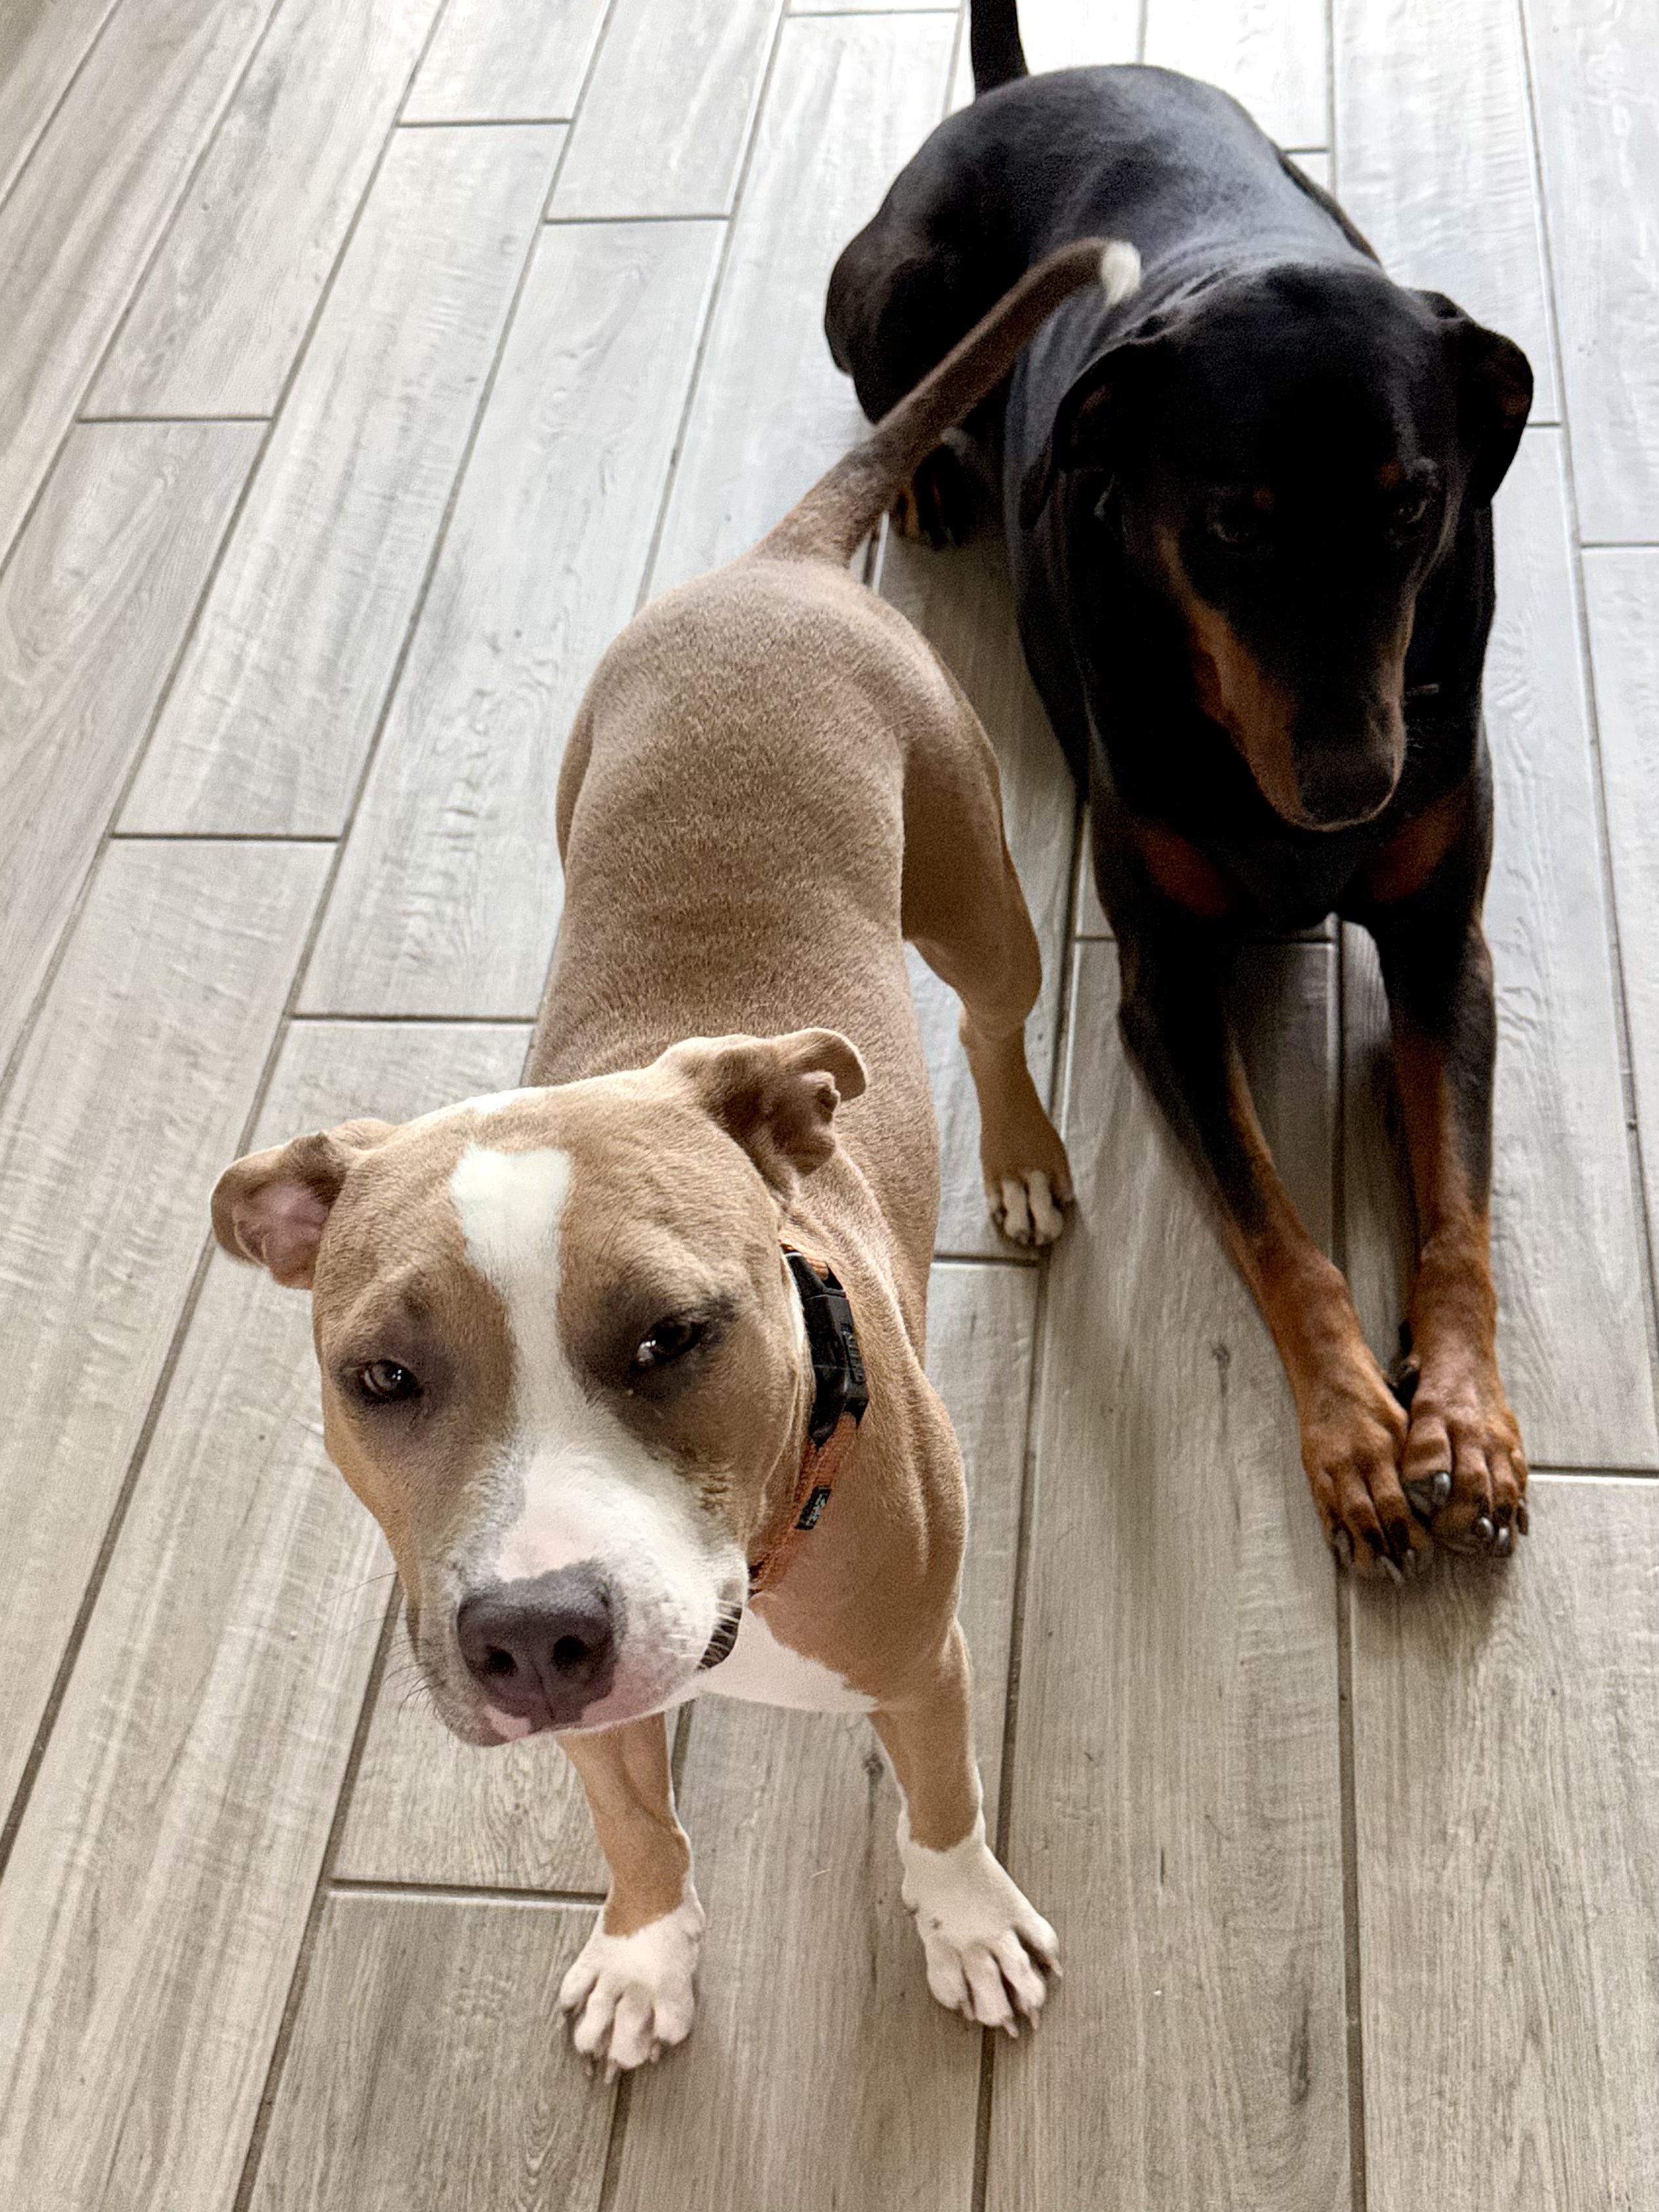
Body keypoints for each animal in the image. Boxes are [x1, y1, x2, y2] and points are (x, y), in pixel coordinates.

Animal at [211, 239, 1137, 2075]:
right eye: (379, 1379)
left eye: (673, 1336)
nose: (531, 1637)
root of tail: (777, 565)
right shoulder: (588, 1715)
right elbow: (632, 1821)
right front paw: (646, 1950)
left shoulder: (924, 1663)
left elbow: (942, 1810)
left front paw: (965, 1924)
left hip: (978, 890)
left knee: (997, 1022)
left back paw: (1017, 1154)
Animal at [826, 0, 1535, 1580]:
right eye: (1228, 525)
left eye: (1414, 502)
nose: (1350, 789)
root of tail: (1024, 84)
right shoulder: (1164, 987)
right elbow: (1273, 1223)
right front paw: (1354, 1443)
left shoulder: (1441, 946)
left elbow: (1455, 1201)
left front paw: (1460, 1420)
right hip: (894, 289)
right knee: (894, 389)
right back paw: (932, 476)